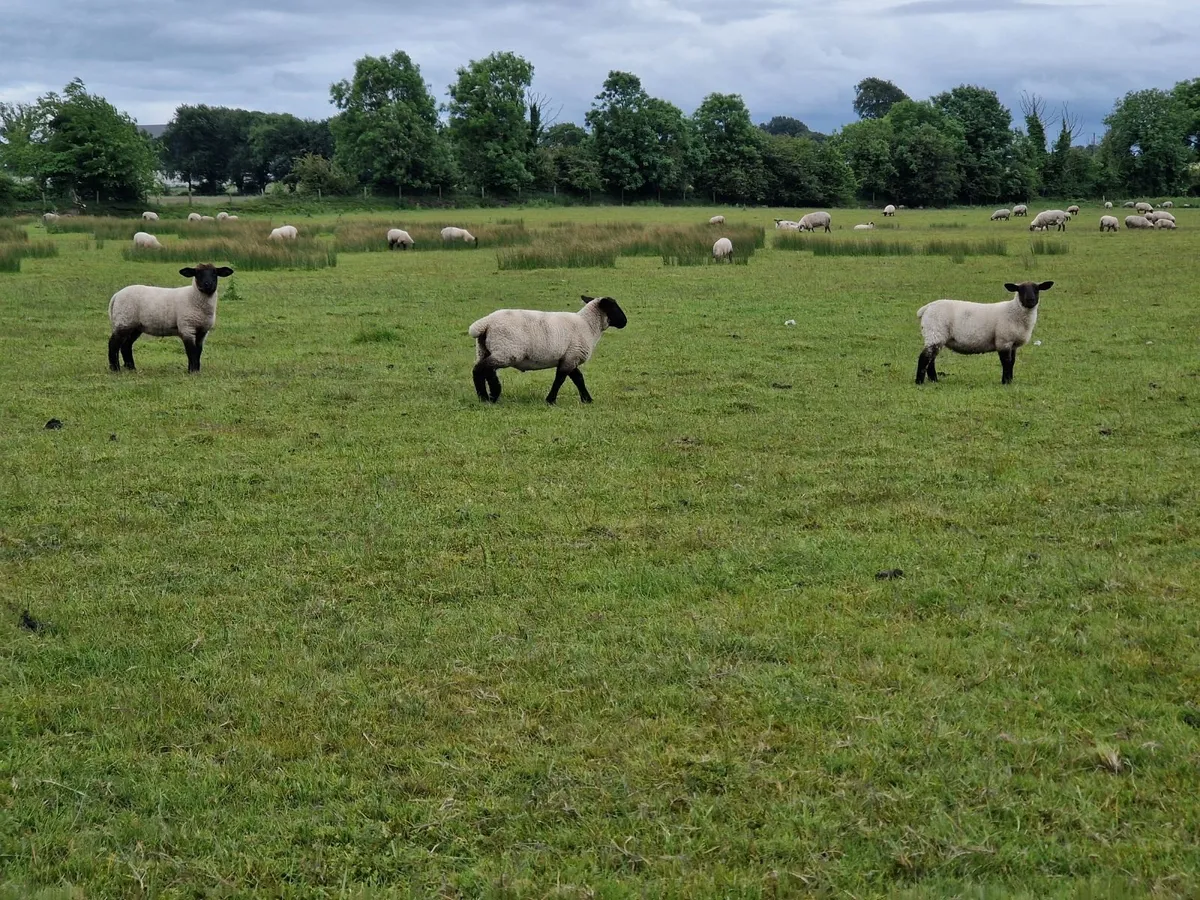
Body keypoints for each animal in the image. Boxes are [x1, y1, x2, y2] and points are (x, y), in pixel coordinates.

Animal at [469, 295, 627, 404]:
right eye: (614, 307)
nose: (625, 322)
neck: (588, 325)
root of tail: (485, 323)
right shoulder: (572, 356)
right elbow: (560, 379)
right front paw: (551, 400)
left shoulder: (569, 357)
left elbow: (578, 379)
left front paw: (587, 399)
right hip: (506, 352)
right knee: (484, 369)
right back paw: (492, 394)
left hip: (484, 350)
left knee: (480, 370)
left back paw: (485, 397)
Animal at [915, 281, 1053, 386]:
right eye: (1020, 290)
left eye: (1037, 289)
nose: (1030, 300)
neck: (1014, 312)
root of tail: (927, 307)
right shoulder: (1003, 340)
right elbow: (1006, 362)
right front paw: (1006, 382)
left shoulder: (1012, 344)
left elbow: (1012, 362)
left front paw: (1010, 380)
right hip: (934, 332)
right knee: (924, 357)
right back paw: (919, 382)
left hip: (936, 336)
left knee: (931, 359)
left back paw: (934, 380)